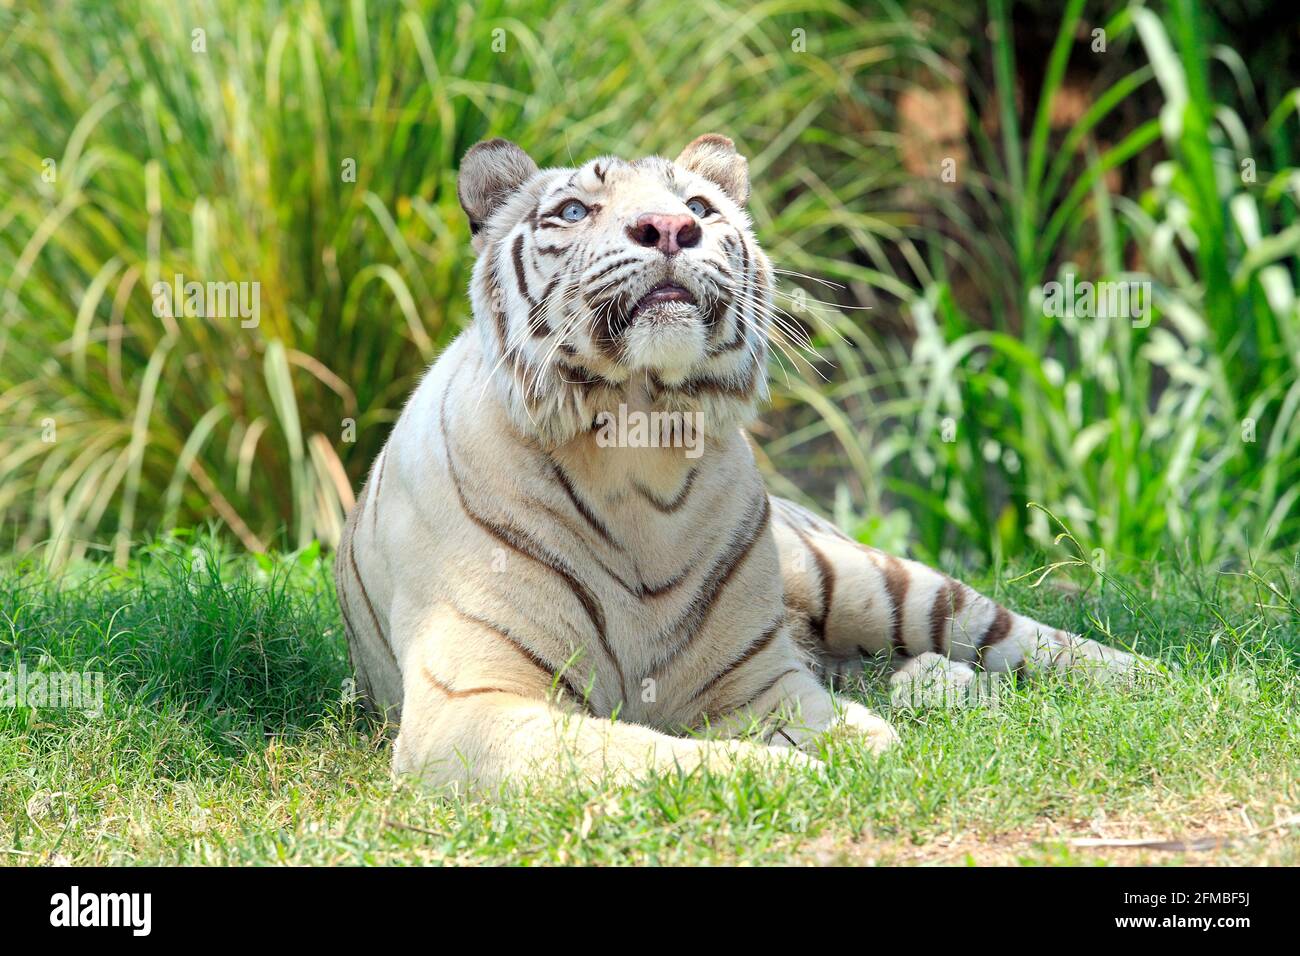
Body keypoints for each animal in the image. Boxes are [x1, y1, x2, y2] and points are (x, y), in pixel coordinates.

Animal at [335, 133, 1145, 792]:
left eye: (698, 204)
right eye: (570, 211)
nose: (671, 228)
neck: (638, 451)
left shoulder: (760, 680)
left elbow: (842, 730)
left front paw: (859, 752)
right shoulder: (472, 704)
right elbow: (637, 756)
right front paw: (790, 773)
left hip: (862, 578)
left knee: (1012, 633)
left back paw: (1152, 678)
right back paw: (935, 687)